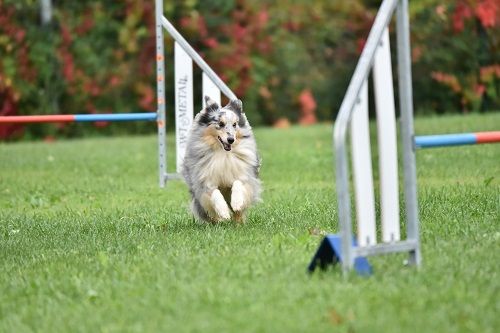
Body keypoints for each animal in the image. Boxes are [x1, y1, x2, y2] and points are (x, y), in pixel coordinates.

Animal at [183, 94, 262, 222]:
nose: (231, 140)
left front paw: (236, 203)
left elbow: (238, 183)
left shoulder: (244, 176)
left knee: (238, 214)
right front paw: (224, 212)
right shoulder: (204, 181)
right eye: (220, 124)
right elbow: (215, 193)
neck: (223, 154)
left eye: (235, 124)